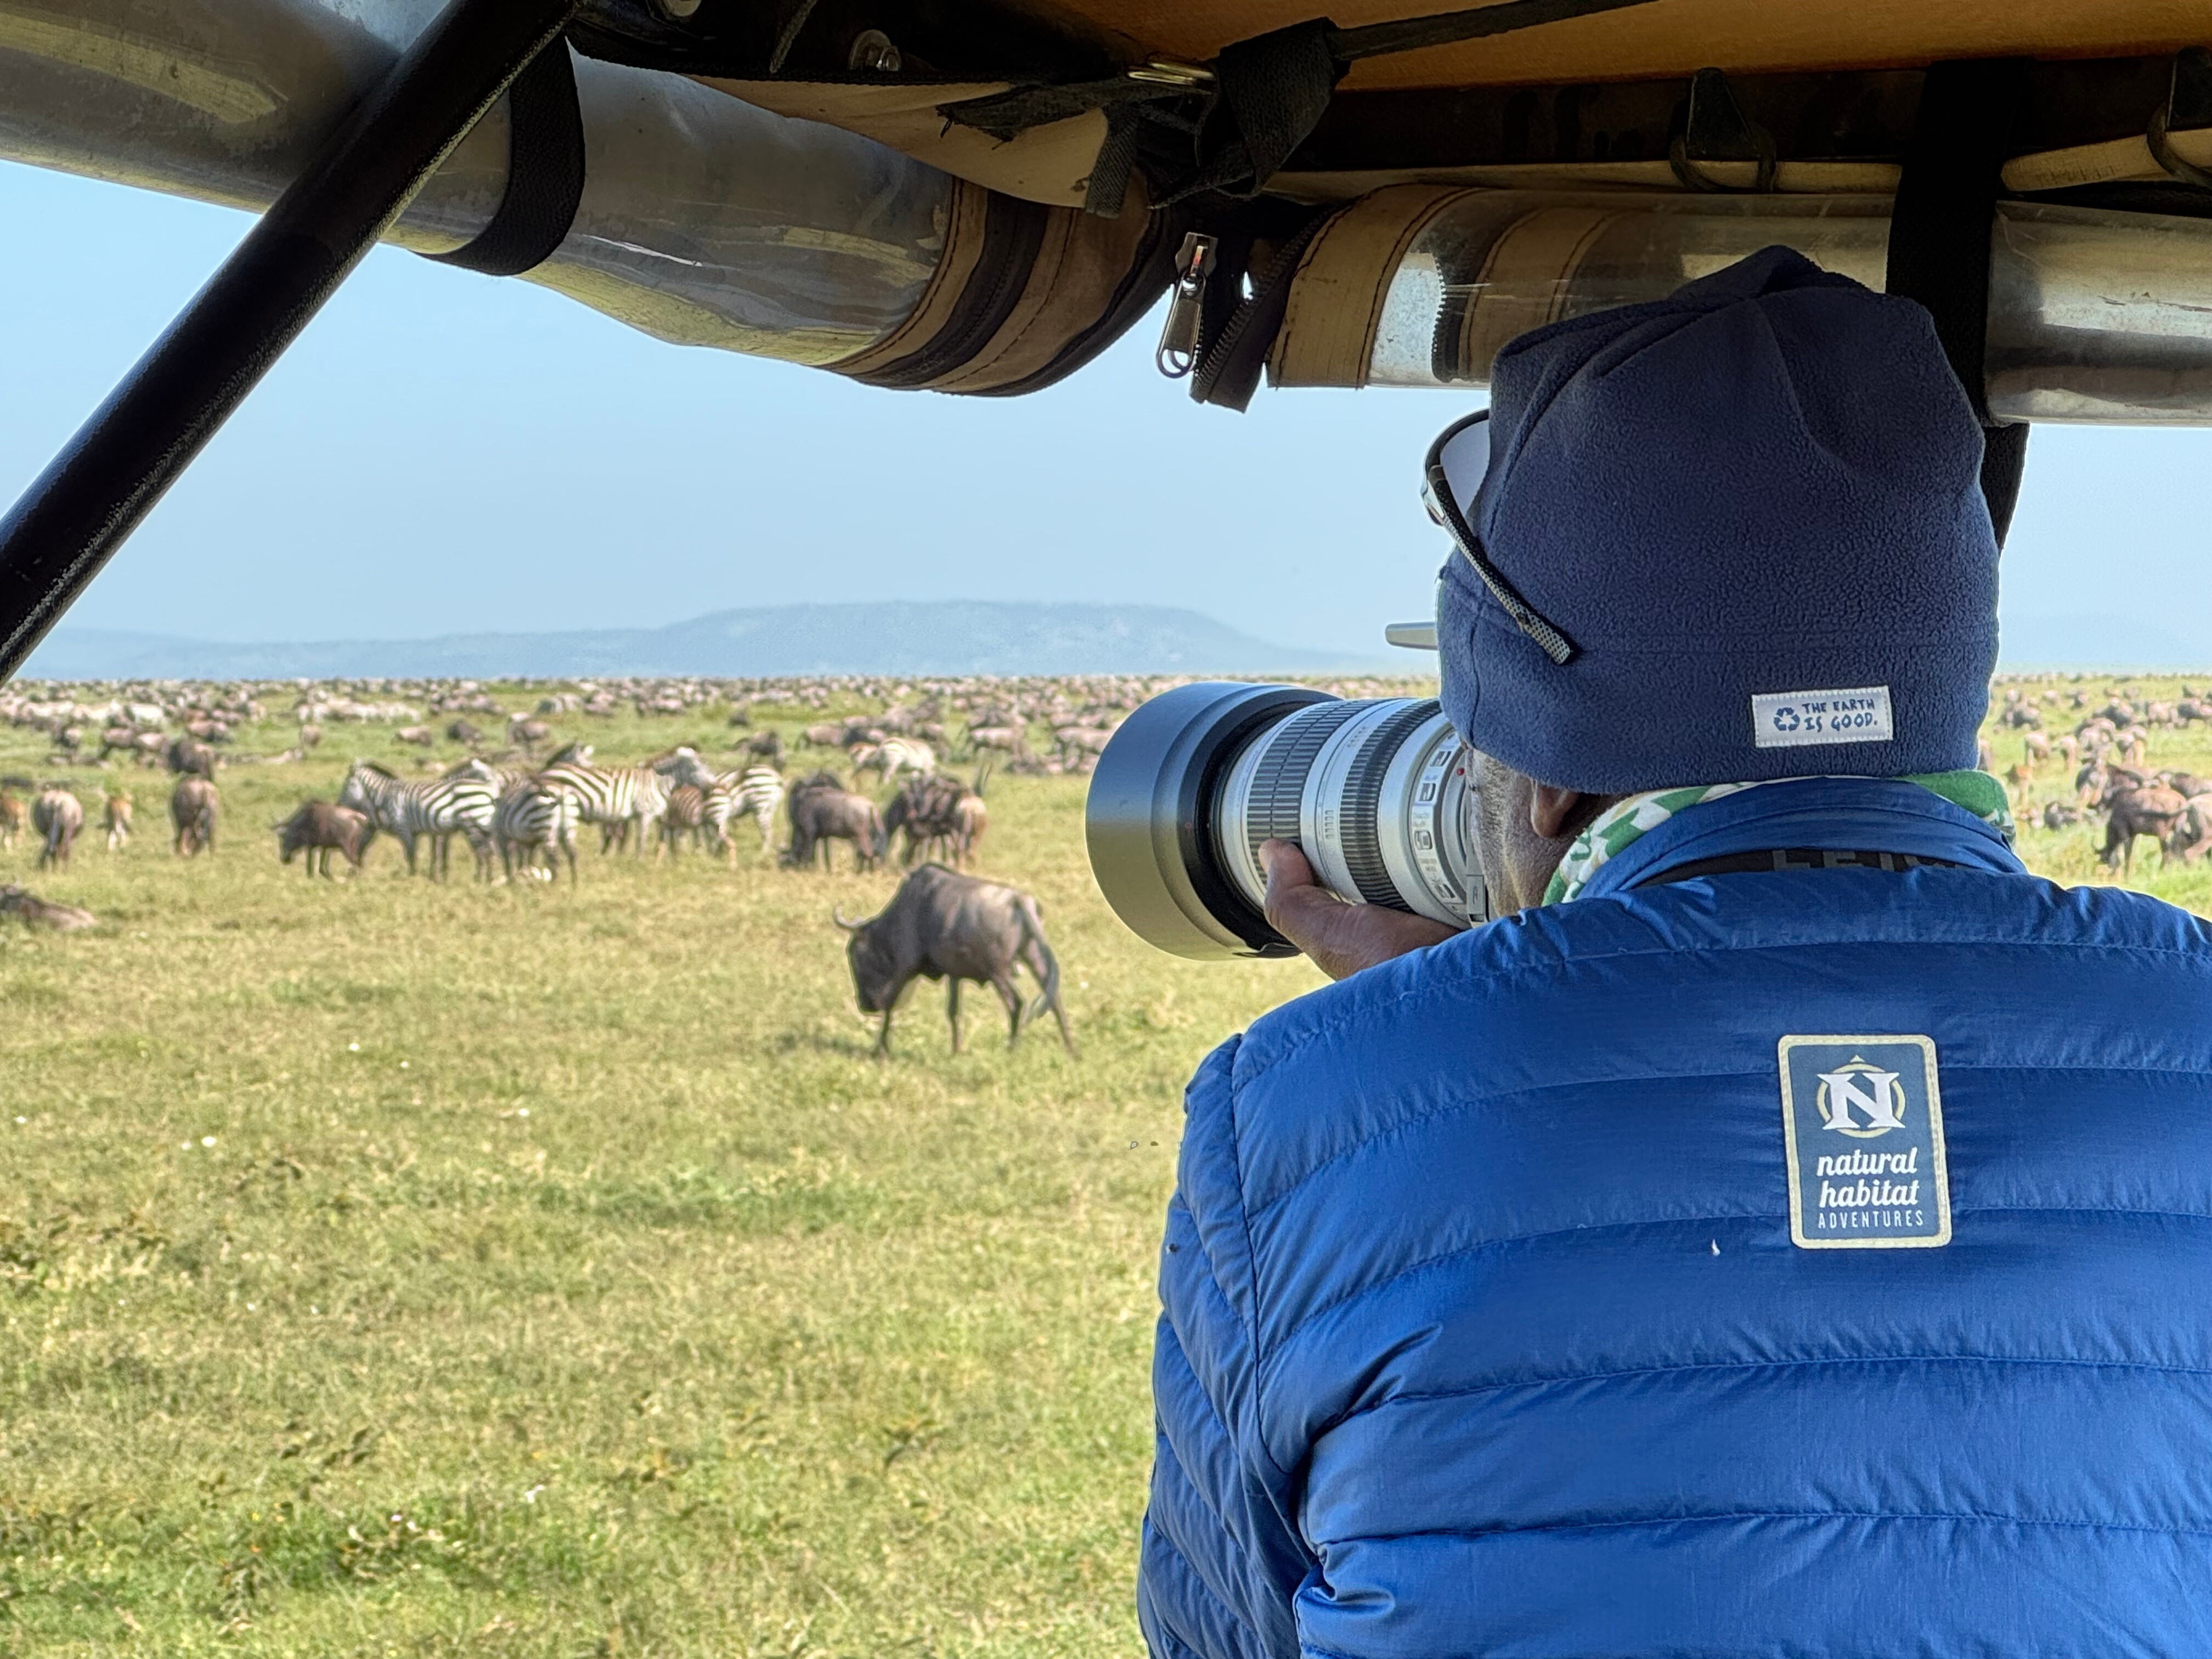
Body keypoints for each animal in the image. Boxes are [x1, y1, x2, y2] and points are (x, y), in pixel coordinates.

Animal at [274, 800, 375, 878]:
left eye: (285, 840)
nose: (284, 860)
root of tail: (356, 817)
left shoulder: (310, 845)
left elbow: (310, 864)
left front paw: (310, 877)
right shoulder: (323, 846)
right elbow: (321, 866)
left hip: (348, 847)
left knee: (357, 862)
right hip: (356, 846)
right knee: (359, 862)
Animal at [835, 865, 1076, 1057]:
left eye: (855, 955)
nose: (865, 1004)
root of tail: (1019, 901)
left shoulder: (905, 968)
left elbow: (890, 1006)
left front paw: (881, 1048)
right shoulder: (954, 975)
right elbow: (953, 1012)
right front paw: (956, 1050)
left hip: (999, 972)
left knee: (1016, 1003)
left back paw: (1011, 1049)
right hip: (1034, 959)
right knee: (1054, 999)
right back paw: (1072, 1050)